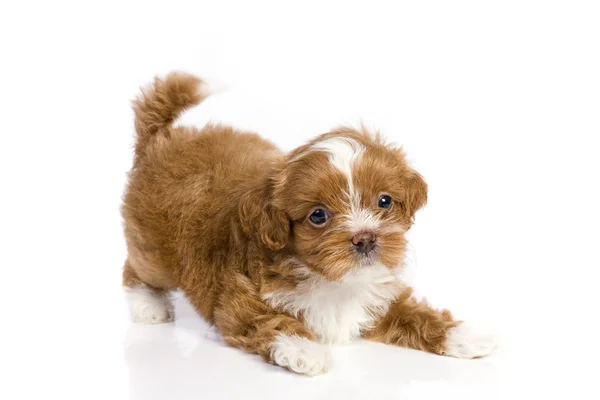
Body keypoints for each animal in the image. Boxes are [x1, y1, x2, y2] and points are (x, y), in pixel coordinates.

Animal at [122, 72, 496, 376]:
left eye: (384, 202)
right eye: (318, 215)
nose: (365, 238)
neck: (334, 280)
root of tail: (162, 138)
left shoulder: (381, 297)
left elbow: (417, 314)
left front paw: (463, 334)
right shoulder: (238, 302)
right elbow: (272, 321)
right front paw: (305, 349)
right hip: (153, 249)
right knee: (135, 269)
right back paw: (148, 305)